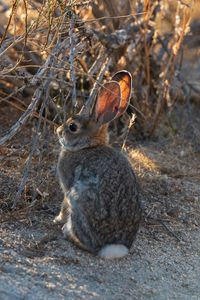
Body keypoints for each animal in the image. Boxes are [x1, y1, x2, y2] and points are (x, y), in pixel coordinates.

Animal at [54, 70, 142, 258]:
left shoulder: (67, 186)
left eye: (72, 127)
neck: (87, 146)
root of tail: (113, 247)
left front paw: (57, 219)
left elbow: (64, 205)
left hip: (78, 199)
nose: (58, 131)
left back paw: (67, 232)